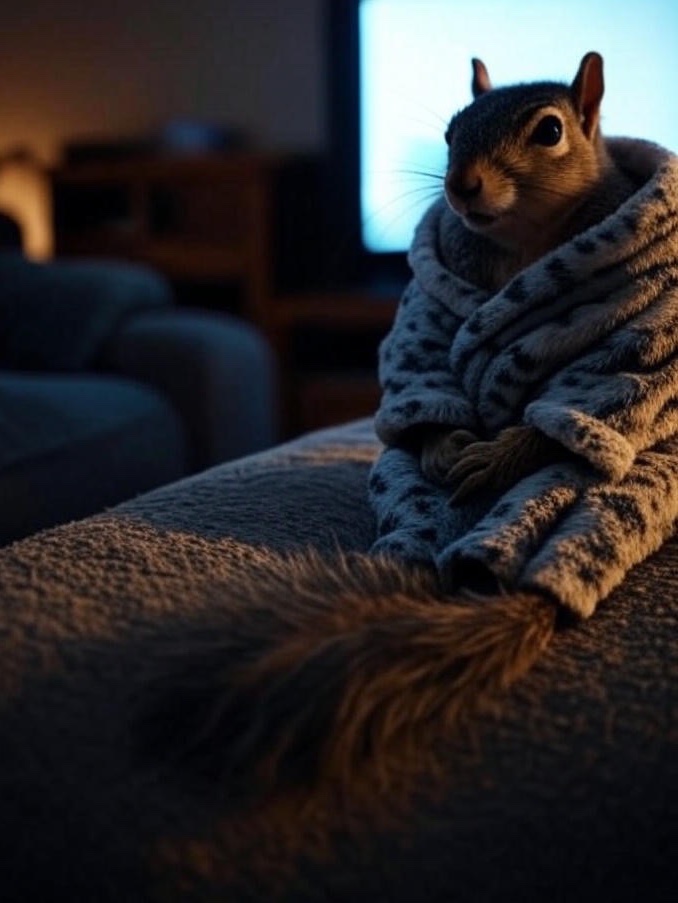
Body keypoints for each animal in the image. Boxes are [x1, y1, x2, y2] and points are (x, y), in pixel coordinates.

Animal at [138, 53, 639, 799]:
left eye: (550, 130)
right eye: (452, 131)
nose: (461, 186)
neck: (522, 243)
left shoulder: (616, 333)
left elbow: (588, 386)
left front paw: (497, 455)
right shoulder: (427, 319)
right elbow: (427, 378)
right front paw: (445, 447)